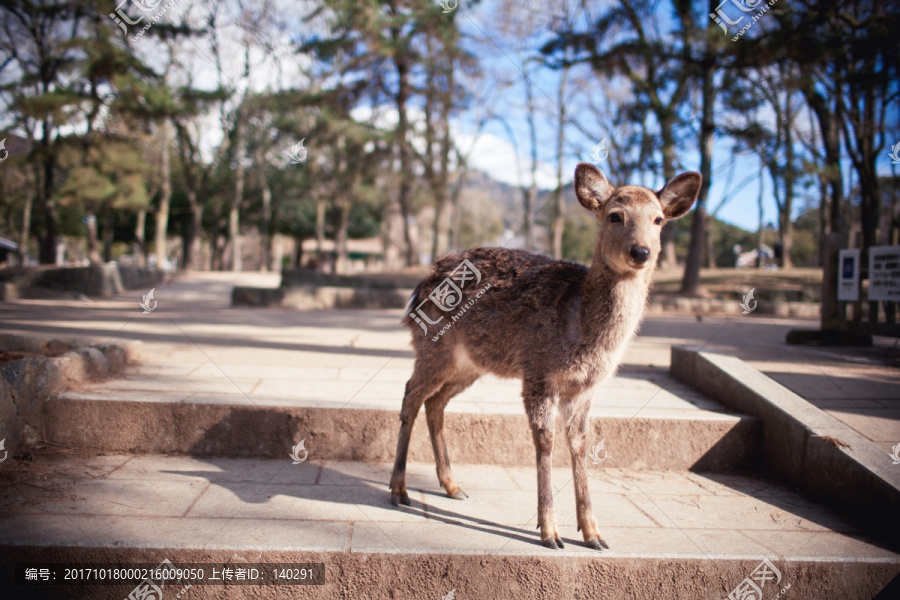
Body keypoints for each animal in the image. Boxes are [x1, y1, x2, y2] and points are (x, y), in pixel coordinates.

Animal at [390, 162, 700, 552]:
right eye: (615, 215)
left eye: (658, 219)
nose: (641, 252)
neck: (583, 331)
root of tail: (420, 288)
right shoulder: (538, 373)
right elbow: (545, 440)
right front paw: (550, 532)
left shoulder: (585, 388)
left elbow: (580, 443)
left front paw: (594, 533)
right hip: (434, 346)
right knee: (411, 394)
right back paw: (398, 490)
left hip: (470, 365)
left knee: (435, 403)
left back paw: (452, 486)